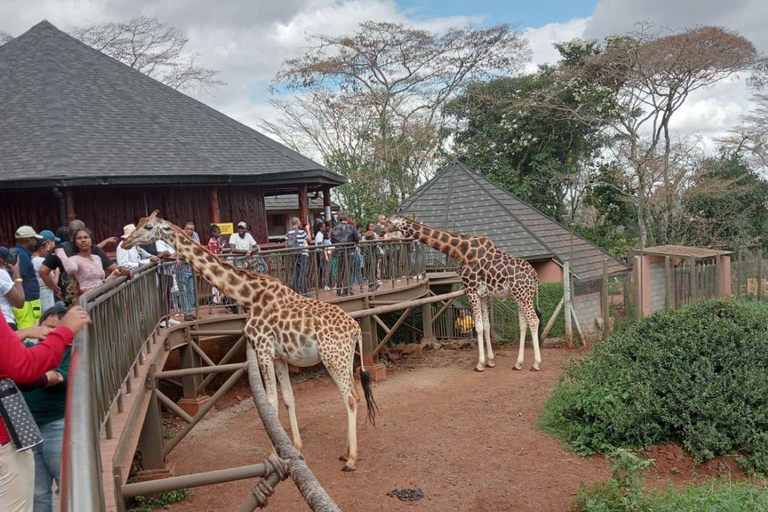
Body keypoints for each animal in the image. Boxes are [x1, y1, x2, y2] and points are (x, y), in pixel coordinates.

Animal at [123, 210, 378, 470]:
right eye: (140, 223)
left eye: (148, 227)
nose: (125, 242)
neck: (249, 295)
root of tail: (356, 328)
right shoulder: (278, 356)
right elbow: (288, 398)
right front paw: (296, 447)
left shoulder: (262, 349)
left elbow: (271, 403)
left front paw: (274, 455)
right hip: (344, 357)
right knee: (356, 394)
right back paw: (345, 452)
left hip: (332, 358)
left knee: (349, 397)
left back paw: (351, 460)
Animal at [388, 213, 544, 372]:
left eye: (389, 222)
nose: (383, 231)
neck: (463, 251)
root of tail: (534, 275)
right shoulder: (483, 295)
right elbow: (486, 326)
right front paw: (490, 361)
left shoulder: (471, 290)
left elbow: (478, 327)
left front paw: (480, 364)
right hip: (520, 296)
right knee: (523, 324)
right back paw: (518, 364)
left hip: (523, 295)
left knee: (533, 320)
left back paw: (536, 364)